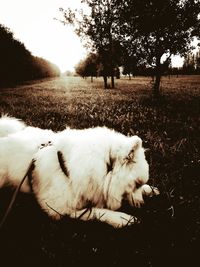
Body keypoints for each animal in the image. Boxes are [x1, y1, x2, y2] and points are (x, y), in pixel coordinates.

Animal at [0, 115, 157, 228]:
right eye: (136, 184)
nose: (143, 205)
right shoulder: (59, 210)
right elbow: (96, 211)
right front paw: (123, 218)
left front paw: (150, 189)